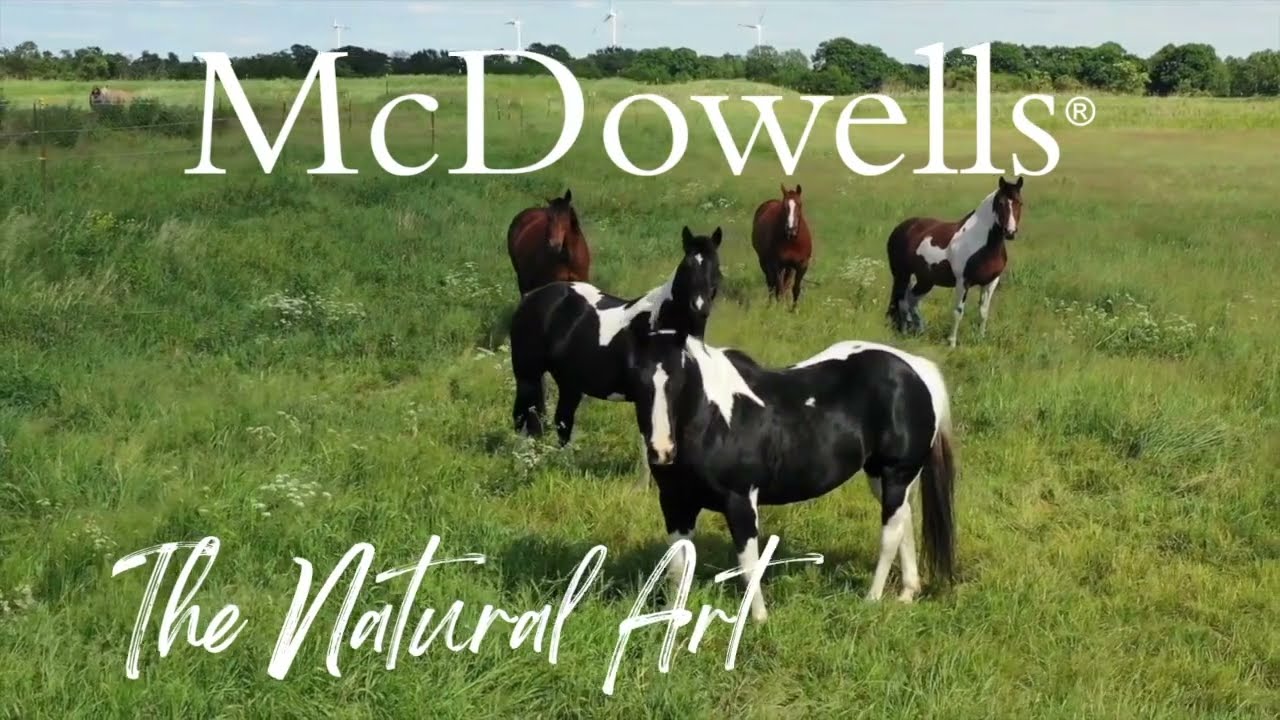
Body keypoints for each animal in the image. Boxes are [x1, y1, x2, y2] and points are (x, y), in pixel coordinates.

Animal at [509, 225, 724, 446]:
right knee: (522, 417)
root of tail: (532, 297)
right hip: (527, 375)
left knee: (560, 422)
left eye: (716, 266)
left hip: (569, 384)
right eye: (687, 266)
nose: (700, 307)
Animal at [622, 326, 957, 621]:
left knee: (890, 534)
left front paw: (758, 619)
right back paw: (907, 593)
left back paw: (872, 598)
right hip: (883, 477)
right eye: (637, 380)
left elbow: (749, 563)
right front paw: (670, 618)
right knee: (905, 521)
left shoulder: (740, 501)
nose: (661, 451)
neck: (715, 419)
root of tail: (916, 369)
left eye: (680, 381)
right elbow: (677, 565)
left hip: (896, 473)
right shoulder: (675, 504)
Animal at [885, 176, 1024, 347]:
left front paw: (981, 340)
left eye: (1020, 203)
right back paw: (904, 331)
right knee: (902, 301)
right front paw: (952, 343)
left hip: (926, 280)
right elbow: (958, 311)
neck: (982, 242)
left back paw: (920, 330)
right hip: (902, 275)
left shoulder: (990, 282)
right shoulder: (963, 281)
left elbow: (983, 312)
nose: (1010, 232)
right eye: (1001, 203)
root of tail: (901, 228)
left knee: (912, 300)